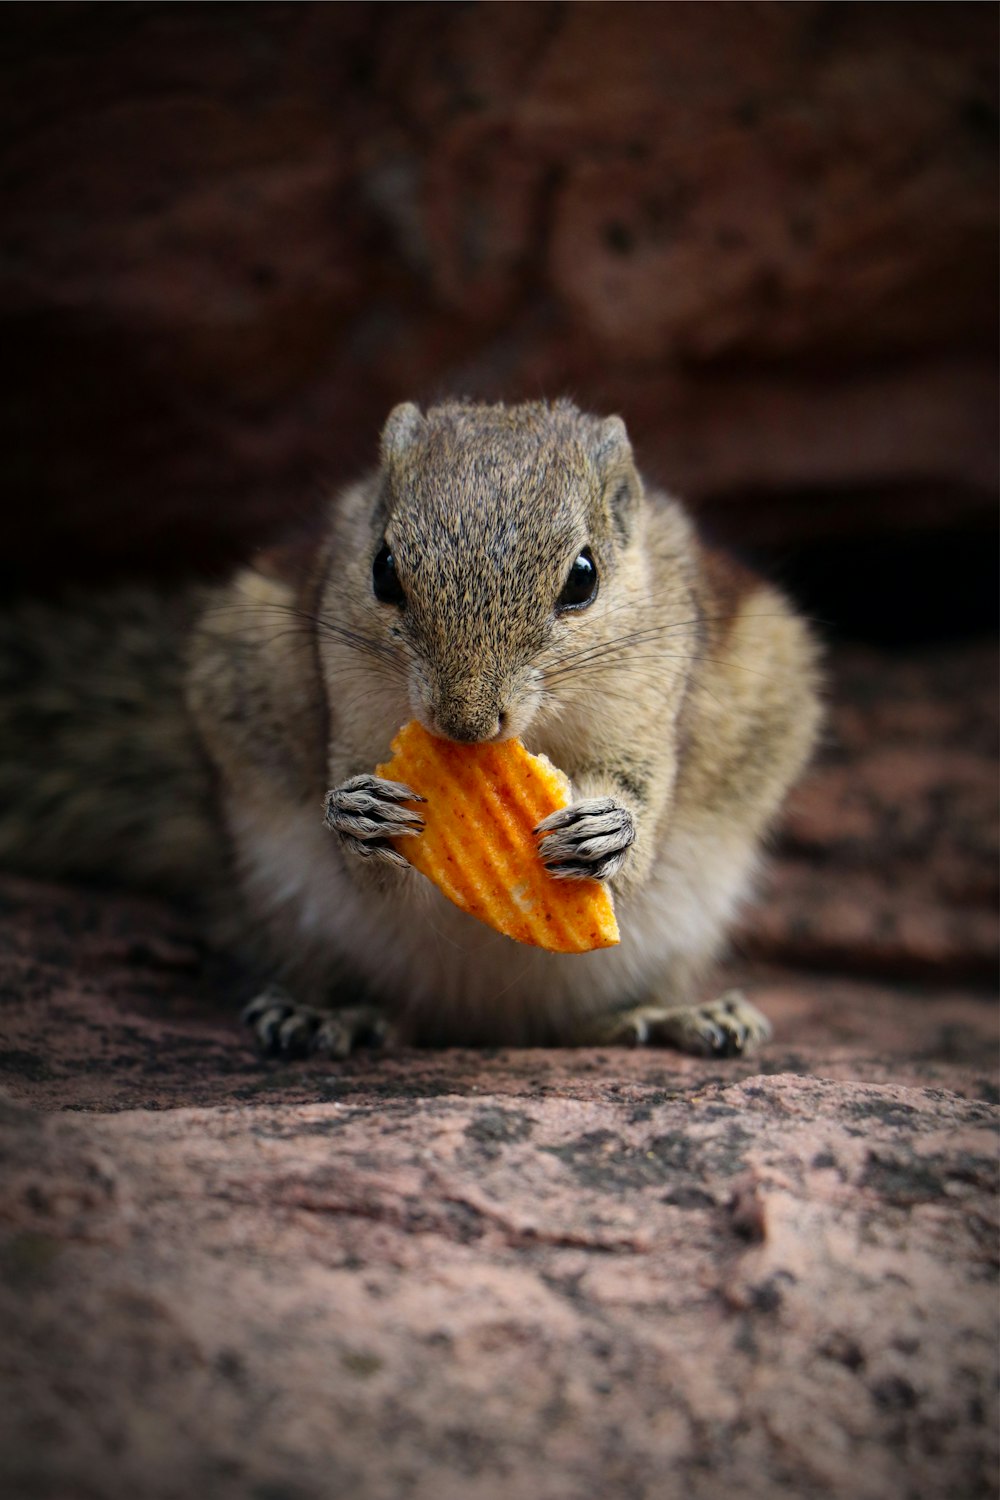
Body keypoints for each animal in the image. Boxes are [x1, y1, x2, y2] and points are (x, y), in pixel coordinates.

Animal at [0, 399, 821, 1056]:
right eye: (384, 570)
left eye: (583, 578)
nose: (464, 722)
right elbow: (366, 863)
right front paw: (358, 816)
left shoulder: (650, 711)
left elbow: (642, 816)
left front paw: (607, 831)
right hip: (293, 912)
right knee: (388, 1010)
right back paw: (331, 1016)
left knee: (586, 1025)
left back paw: (673, 1016)